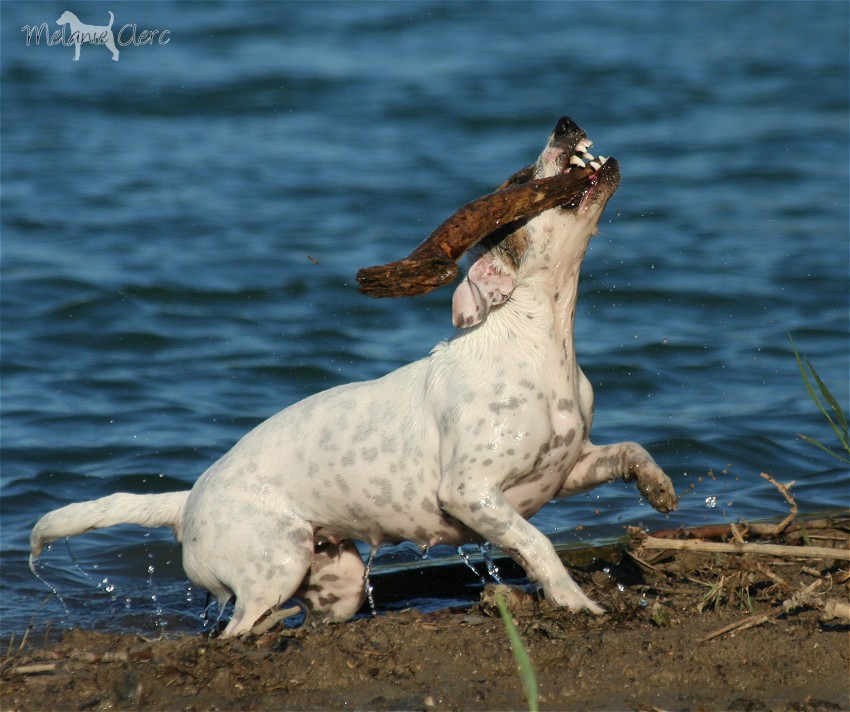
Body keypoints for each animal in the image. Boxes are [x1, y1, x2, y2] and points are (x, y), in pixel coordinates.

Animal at [31, 118, 676, 640]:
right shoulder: (471, 492)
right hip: (276, 561)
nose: (565, 122)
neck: (538, 341)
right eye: (520, 177)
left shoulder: (565, 470)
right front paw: (575, 601)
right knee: (235, 628)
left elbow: (628, 449)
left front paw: (658, 488)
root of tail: (188, 501)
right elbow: (538, 544)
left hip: (333, 577)